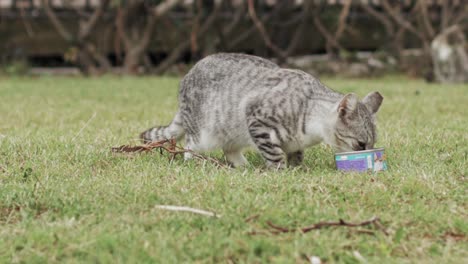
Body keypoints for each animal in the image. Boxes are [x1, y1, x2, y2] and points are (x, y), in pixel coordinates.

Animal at [141, 53, 382, 169]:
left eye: (371, 145)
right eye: (361, 144)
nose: (370, 154)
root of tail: (186, 78)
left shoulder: (294, 142)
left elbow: (296, 155)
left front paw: (297, 168)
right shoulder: (257, 118)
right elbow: (274, 154)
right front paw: (280, 170)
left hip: (232, 131)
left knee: (229, 149)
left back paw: (243, 167)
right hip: (204, 133)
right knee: (189, 144)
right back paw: (193, 160)